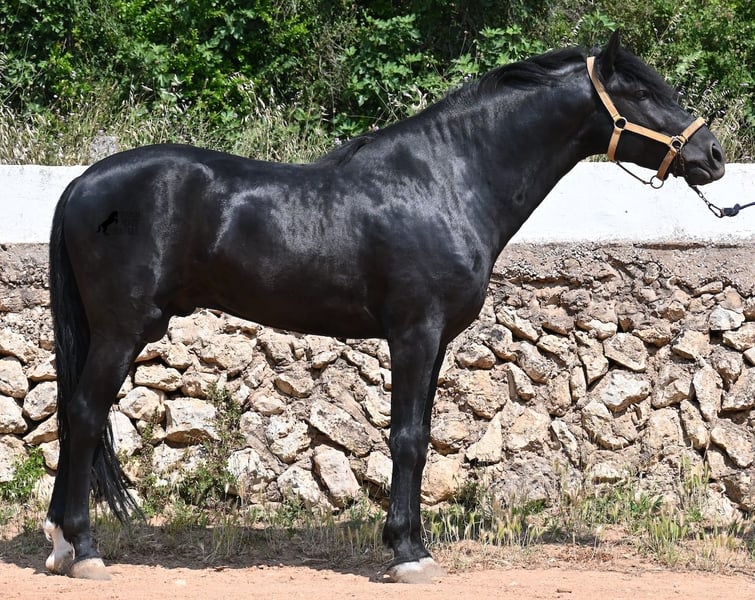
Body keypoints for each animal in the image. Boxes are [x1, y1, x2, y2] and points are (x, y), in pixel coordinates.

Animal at [44, 31, 725, 582]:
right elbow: (409, 438)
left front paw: (406, 541)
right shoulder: (414, 333)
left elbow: (417, 435)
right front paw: (409, 552)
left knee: (74, 414)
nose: (712, 157)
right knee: (84, 412)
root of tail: (79, 183)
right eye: (640, 91)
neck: (447, 182)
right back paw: (84, 550)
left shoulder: (435, 340)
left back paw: (60, 543)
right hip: (124, 328)